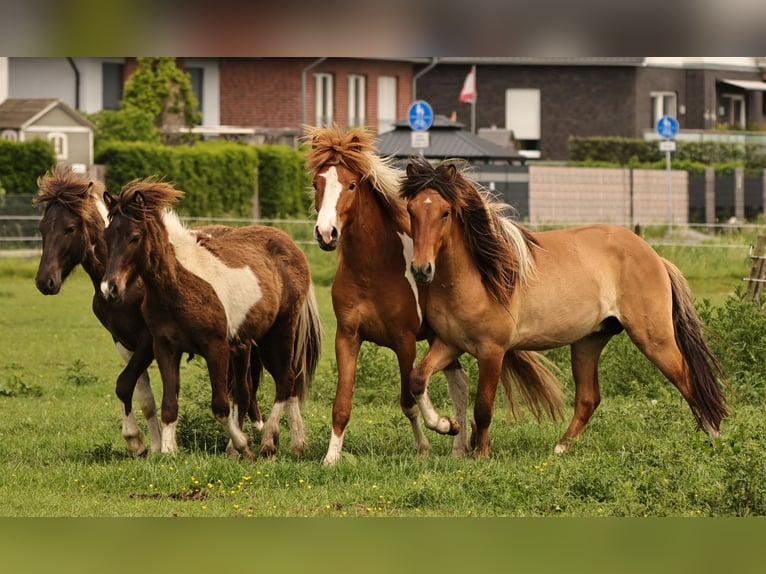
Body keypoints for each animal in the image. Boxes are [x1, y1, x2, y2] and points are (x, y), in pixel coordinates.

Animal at [34, 166, 265, 456]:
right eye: (42, 228)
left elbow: (124, 384)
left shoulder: (147, 340)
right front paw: (154, 445)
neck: (133, 281)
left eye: (69, 228)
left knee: (244, 387)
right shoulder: (123, 341)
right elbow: (145, 397)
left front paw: (136, 440)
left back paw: (249, 436)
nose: (45, 282)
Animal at [100, 178, 322, 459]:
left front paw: (243, 446)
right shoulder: (165, 347)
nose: (110, 288)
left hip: (279, 333)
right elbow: (169, 403)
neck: (178, 284)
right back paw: (297, 444)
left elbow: (220, 405)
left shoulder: (215, 347)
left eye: (135, 237)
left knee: (285, 379)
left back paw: (270, 442)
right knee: (280, 385)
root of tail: (292, 246)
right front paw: (168, 451)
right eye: (107, 235)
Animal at [304, 125, 564, 464]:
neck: (372, 269)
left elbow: (409, 397)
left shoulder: (404, 339)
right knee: (460, 384)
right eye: (316, 183)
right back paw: (459, 448)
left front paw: (435, 435)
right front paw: (331, 458)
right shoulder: (347, 336)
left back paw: (458, 440)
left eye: (350, 185)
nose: (326, 234)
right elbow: (342, 404)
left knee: (457, 385)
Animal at [401, 156, 728, 457]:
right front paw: (446, 425)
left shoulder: (492, 351)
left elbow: (483, 407)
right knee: (588, 398)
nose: (421, 269)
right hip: (589, 341)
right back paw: (560, 447)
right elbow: (417, 380)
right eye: (411, 210)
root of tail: (654, 256)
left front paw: (480, 454)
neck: (479, 278)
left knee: (686, 377)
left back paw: (715, 438)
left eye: (445, 212)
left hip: (653, 337)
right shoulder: (450, 344)